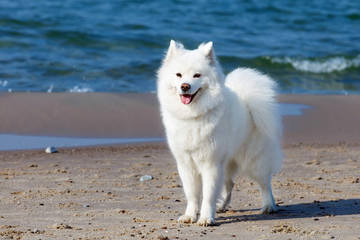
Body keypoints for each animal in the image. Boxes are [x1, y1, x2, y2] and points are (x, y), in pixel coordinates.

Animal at [156, 40, 282, 226]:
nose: (185, 86)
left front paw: (206, 218)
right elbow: (192, 194)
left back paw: (269, 206)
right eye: (178, 75)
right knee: (230, 184)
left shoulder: (211, 164)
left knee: (264, 183)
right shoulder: (187, 164)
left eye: (197, 75)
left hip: (254, 161)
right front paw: (190, 215)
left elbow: (208, 195)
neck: (193, 116)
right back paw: (222, 205)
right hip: (227, 162)